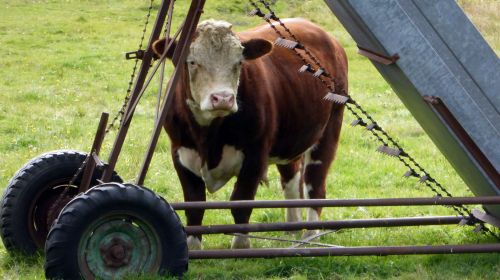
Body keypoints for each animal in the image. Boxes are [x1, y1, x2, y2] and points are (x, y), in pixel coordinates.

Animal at [153, 18, 348, 249]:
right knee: (291, 180)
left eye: (239, 63)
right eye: (192, 62)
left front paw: (241, 246)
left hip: (328, 131)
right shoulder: (181, 153)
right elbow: (194, 205)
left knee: (315, 185)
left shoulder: (255, 156)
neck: (209, 136)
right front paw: (192, 247)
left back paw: (310, 235)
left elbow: (241, 202)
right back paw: (292, 228)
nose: (223, 98)